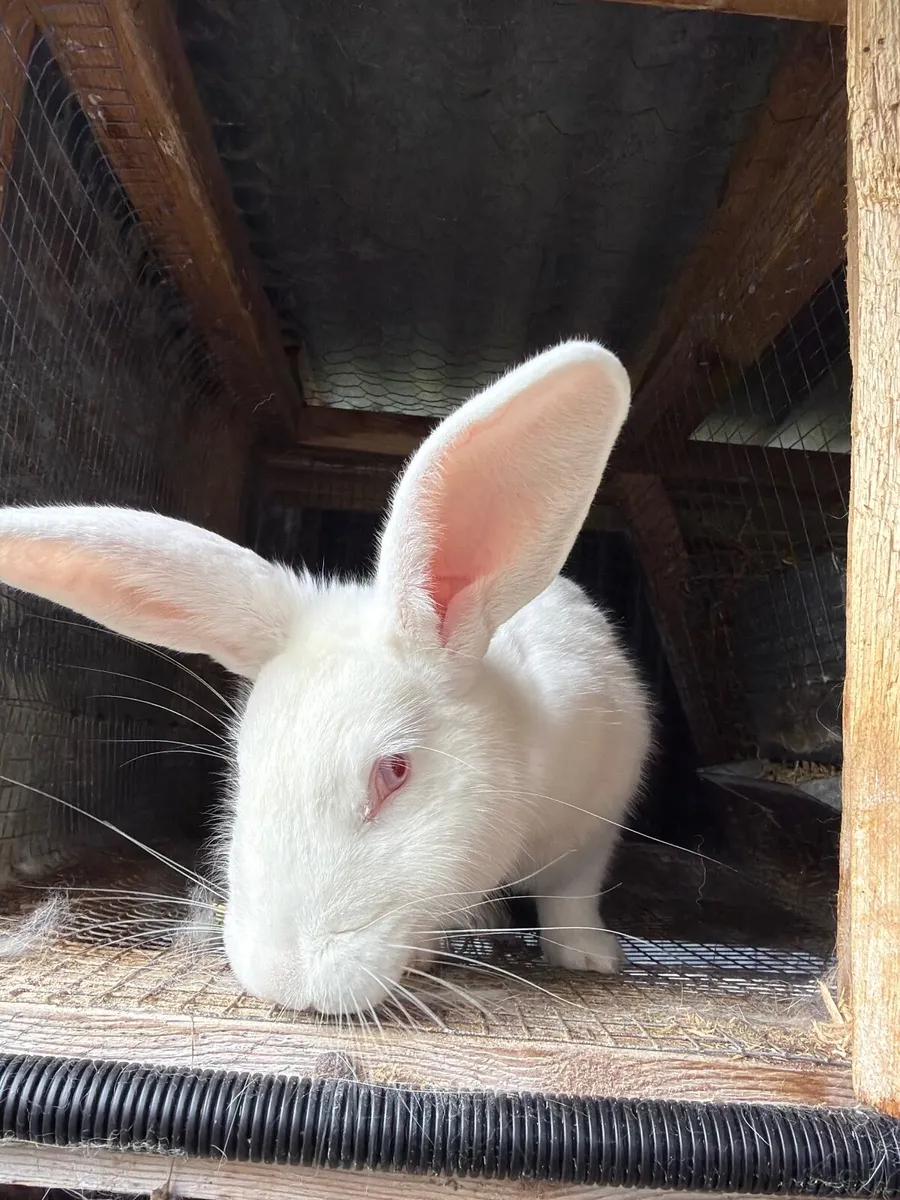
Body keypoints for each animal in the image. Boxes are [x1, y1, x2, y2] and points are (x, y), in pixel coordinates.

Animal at [0, 339, 652, 1016]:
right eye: (242, 765)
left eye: (394, 772)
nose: (283, 979)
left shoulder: (596, 818)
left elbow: (573, 894)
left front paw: (590, 957)